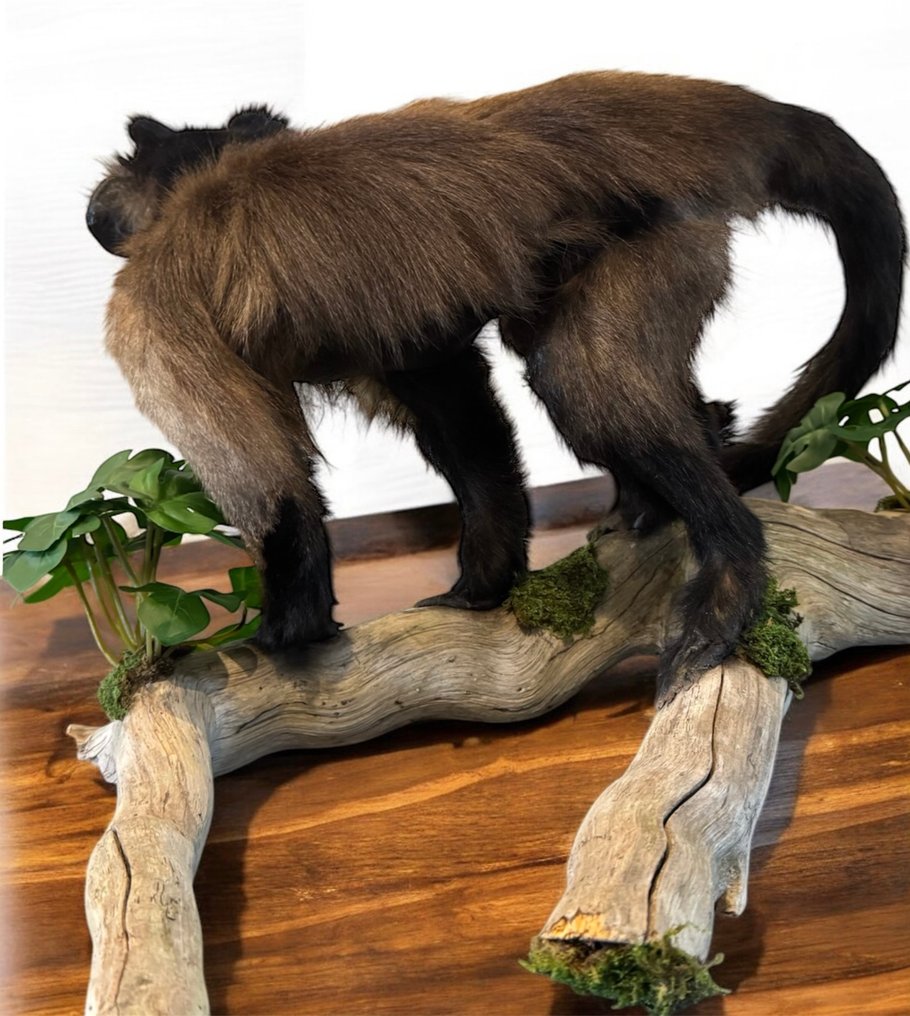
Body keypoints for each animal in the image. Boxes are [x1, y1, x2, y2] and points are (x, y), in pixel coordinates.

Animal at [86, 73, 904, 702]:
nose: (96, 214)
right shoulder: (404, 334)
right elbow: (462, 418)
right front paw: (484, 581)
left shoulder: (151, 295)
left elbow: (271, 488)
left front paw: (291, 625)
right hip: (668, 244)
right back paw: (664, 486)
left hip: (657, 234)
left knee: (581, 381)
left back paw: (728, 560)